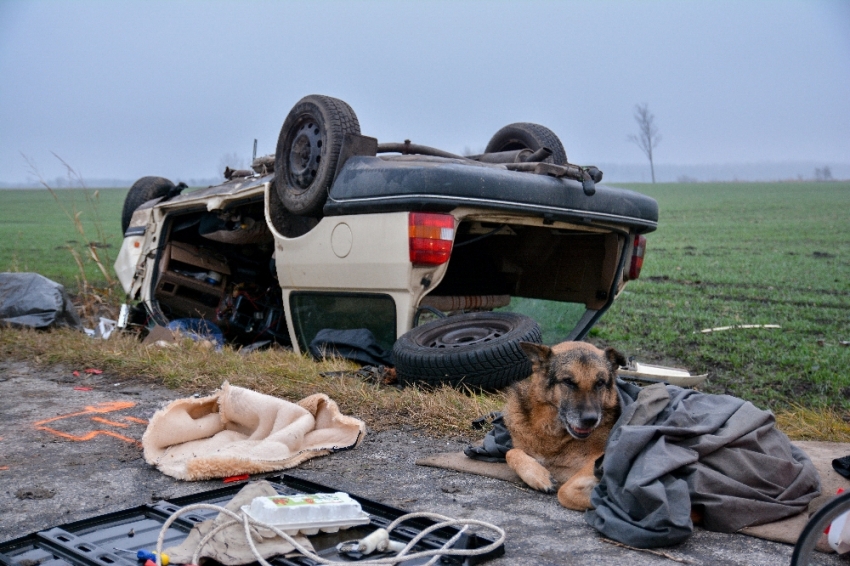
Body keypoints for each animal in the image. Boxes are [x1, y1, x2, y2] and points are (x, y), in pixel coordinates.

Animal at [504, 342, 624, 516]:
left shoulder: (601, 457)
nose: (590, 420)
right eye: (568, 382)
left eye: (600, 383)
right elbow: (510, 452)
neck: (551, 432)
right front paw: (539, 476)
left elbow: (565, 492)